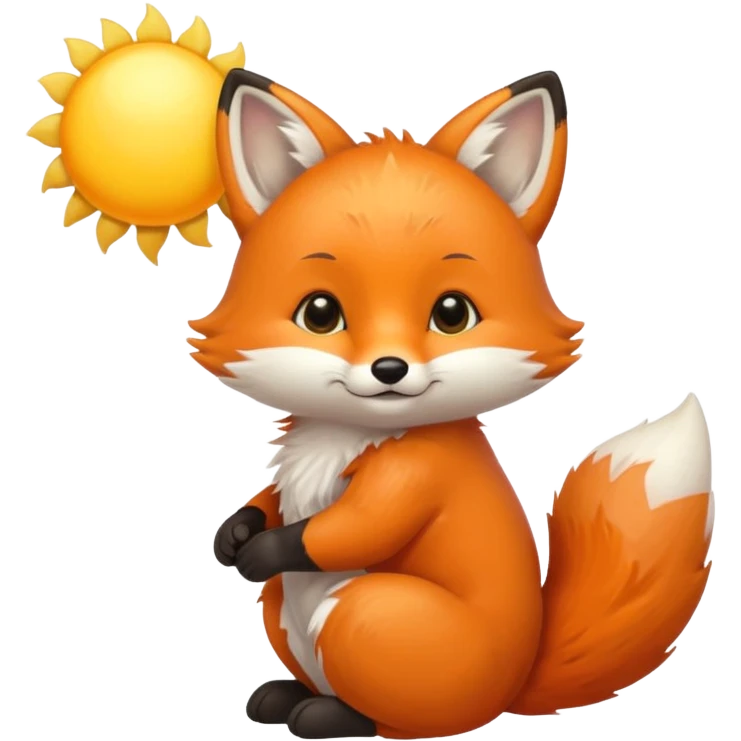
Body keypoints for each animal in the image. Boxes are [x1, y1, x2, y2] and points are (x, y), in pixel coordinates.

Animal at [189, 69, 715, 739]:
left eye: (451, 314)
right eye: (320, 313)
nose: (389, 370)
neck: (348, 436)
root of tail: (515, 683)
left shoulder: (414, 475)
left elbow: (347, 531)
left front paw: (261, 550)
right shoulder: (292, 481)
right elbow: (269, 500)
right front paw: (233, 535)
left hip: (362, 610)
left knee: (395, 717)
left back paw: (325, 714)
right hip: (284, 607)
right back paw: (282, 697)